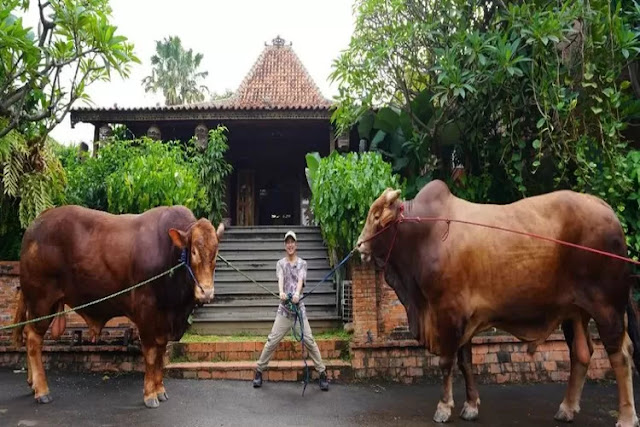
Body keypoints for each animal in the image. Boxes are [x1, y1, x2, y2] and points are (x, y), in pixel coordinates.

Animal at [11, 206, 224, 410]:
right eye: (194, 252)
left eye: (216, 253)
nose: (206, 292)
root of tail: (37, 223)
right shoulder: (146, 313)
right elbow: (151, 353)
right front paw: (150, 395)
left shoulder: (164, 320)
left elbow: (161, 352)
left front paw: (160, 389)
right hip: (41, 301)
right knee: (33, 339)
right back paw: (42, 391)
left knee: (28, 334)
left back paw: (32, 384)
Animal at [356, 181, 640, 427]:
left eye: (377, 215)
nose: (359, 245)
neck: (424, 234)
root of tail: (606, 209)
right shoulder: (465, 317)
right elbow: (465, 362)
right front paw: (470, 407)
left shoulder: (447, 313)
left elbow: (446, 362)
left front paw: (444, 408)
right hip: (575, 312)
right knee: (581, 354)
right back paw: (567, 409)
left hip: (607, 307)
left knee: (621, 355)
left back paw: (626, 417)